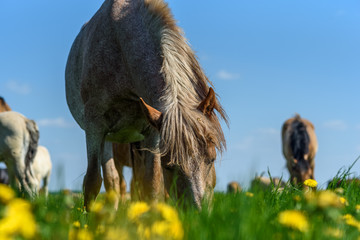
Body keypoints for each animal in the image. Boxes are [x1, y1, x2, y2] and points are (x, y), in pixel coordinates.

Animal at [66, 0, 226, 209]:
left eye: (211, 159)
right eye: (169, 166)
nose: (198, 213)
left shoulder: (153, 132)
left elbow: (151, 185)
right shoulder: (94, 125)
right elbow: (92, 181)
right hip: (106, 138)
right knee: (112, 180)